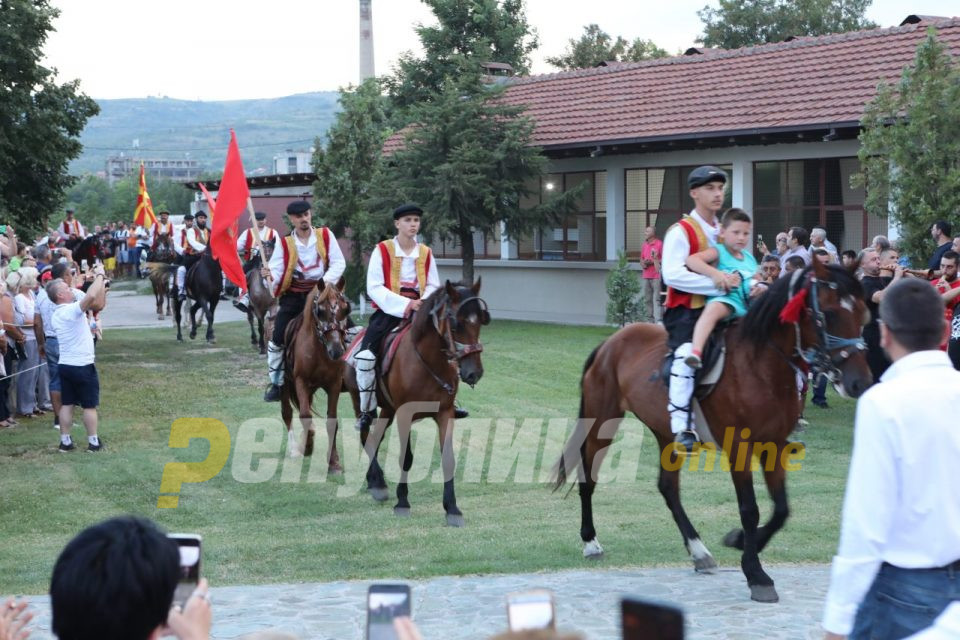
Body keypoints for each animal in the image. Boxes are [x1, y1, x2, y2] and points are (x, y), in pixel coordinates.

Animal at [280, 278, 350, 470]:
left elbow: (332, 420)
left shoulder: (334, 383)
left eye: (345, 308)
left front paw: (334, 461)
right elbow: (305, 415)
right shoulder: (300, 381)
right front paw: (308, 444)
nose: (336, 350)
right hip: (285, 384)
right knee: (287, 412)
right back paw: (295, 448)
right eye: (320, 310)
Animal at [344, 278, 492, 524]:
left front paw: (452, 508)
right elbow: (406, 458)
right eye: (455, 325)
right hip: (361, 402)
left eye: (480, 321)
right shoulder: (405, 414)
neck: (427, 361)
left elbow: (448, 458)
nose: (474, 373)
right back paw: (377, 482)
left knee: (375, 437)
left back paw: (375, 481)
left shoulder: (445, 413)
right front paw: (402, 502)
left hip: (388, 409)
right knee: (366, 434)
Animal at [552, 258, 872, 604]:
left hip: (665, 433)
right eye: (829, 314)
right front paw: (756, 573)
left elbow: (781, 509)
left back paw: (698, 551)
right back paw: (590, 541)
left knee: (668, 488)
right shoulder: (739, 448)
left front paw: (741, 542)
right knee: (588, 476)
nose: (859, 383)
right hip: (602, 419)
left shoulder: (773, 444)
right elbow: (750, 509)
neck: (760, 364)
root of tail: (611, 342)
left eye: (863, 313)